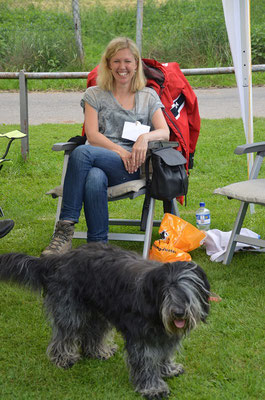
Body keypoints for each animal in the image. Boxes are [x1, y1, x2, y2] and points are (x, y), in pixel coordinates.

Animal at [0, 242, 210, 398]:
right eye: (167, 289)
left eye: (187, 288)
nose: (178, 312)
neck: (154, 306)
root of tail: (59, 259)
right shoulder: (142, 337)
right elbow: (146, 361)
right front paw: (153, 388)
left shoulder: (164, 336)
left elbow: (164, 354)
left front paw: (168, 369)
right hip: (69, 310)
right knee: (65, 334)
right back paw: (63, 358)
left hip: (98, 312)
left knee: (93, 333)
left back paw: (99, 352)